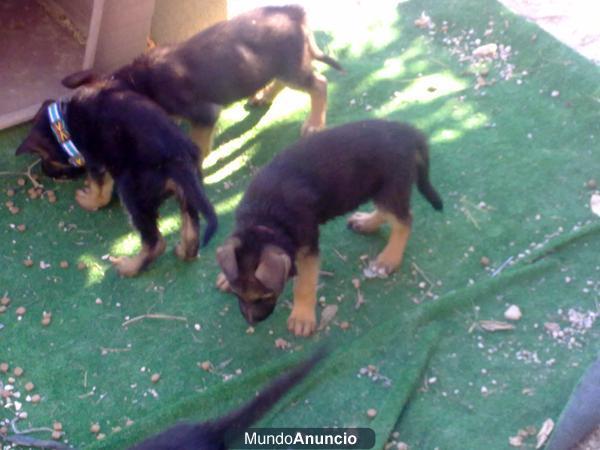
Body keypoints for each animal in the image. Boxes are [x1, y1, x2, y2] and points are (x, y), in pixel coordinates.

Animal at [15, 84, 218, 276]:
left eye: (45, 157)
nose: (45, 171)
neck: (64, 121)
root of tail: (178, 158)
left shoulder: (96, 162)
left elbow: (100, 193)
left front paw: (87, 200)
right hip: (188, 194)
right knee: (191, 230)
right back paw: (185, 252)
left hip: (131, 191)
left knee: (155, 242)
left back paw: (128, 267)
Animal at [216, 119, 440, 338]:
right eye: (237, 294)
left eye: (264, 296)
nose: (252, 321)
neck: (263, 218)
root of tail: (410, 132)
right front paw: (225, 277)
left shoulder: (307, 247)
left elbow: (304, 285)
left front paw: (302, 318)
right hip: (379, 189)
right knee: (388, 213)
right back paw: (366, 223)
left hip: (390, 187)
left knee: (404, 221)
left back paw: (389, 259)